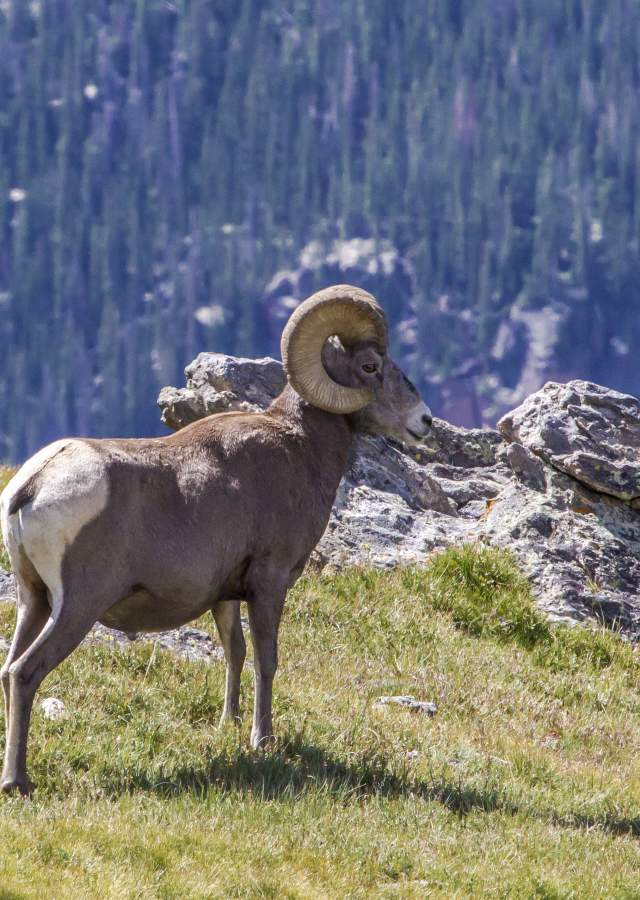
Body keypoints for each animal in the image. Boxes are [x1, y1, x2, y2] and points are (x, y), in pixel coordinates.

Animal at [0, 284, 432, 792]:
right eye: (369, 367)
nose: (424, 422)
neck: (299, 448)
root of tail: (32, 484)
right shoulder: (269, 582)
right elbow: (267, 658)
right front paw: (262, 739)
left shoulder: (225, 594)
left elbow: (235, 651)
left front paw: (230, 722)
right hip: (77, 607)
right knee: (25, 673)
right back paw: (17, 783)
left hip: (33, 599)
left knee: (8, 670)